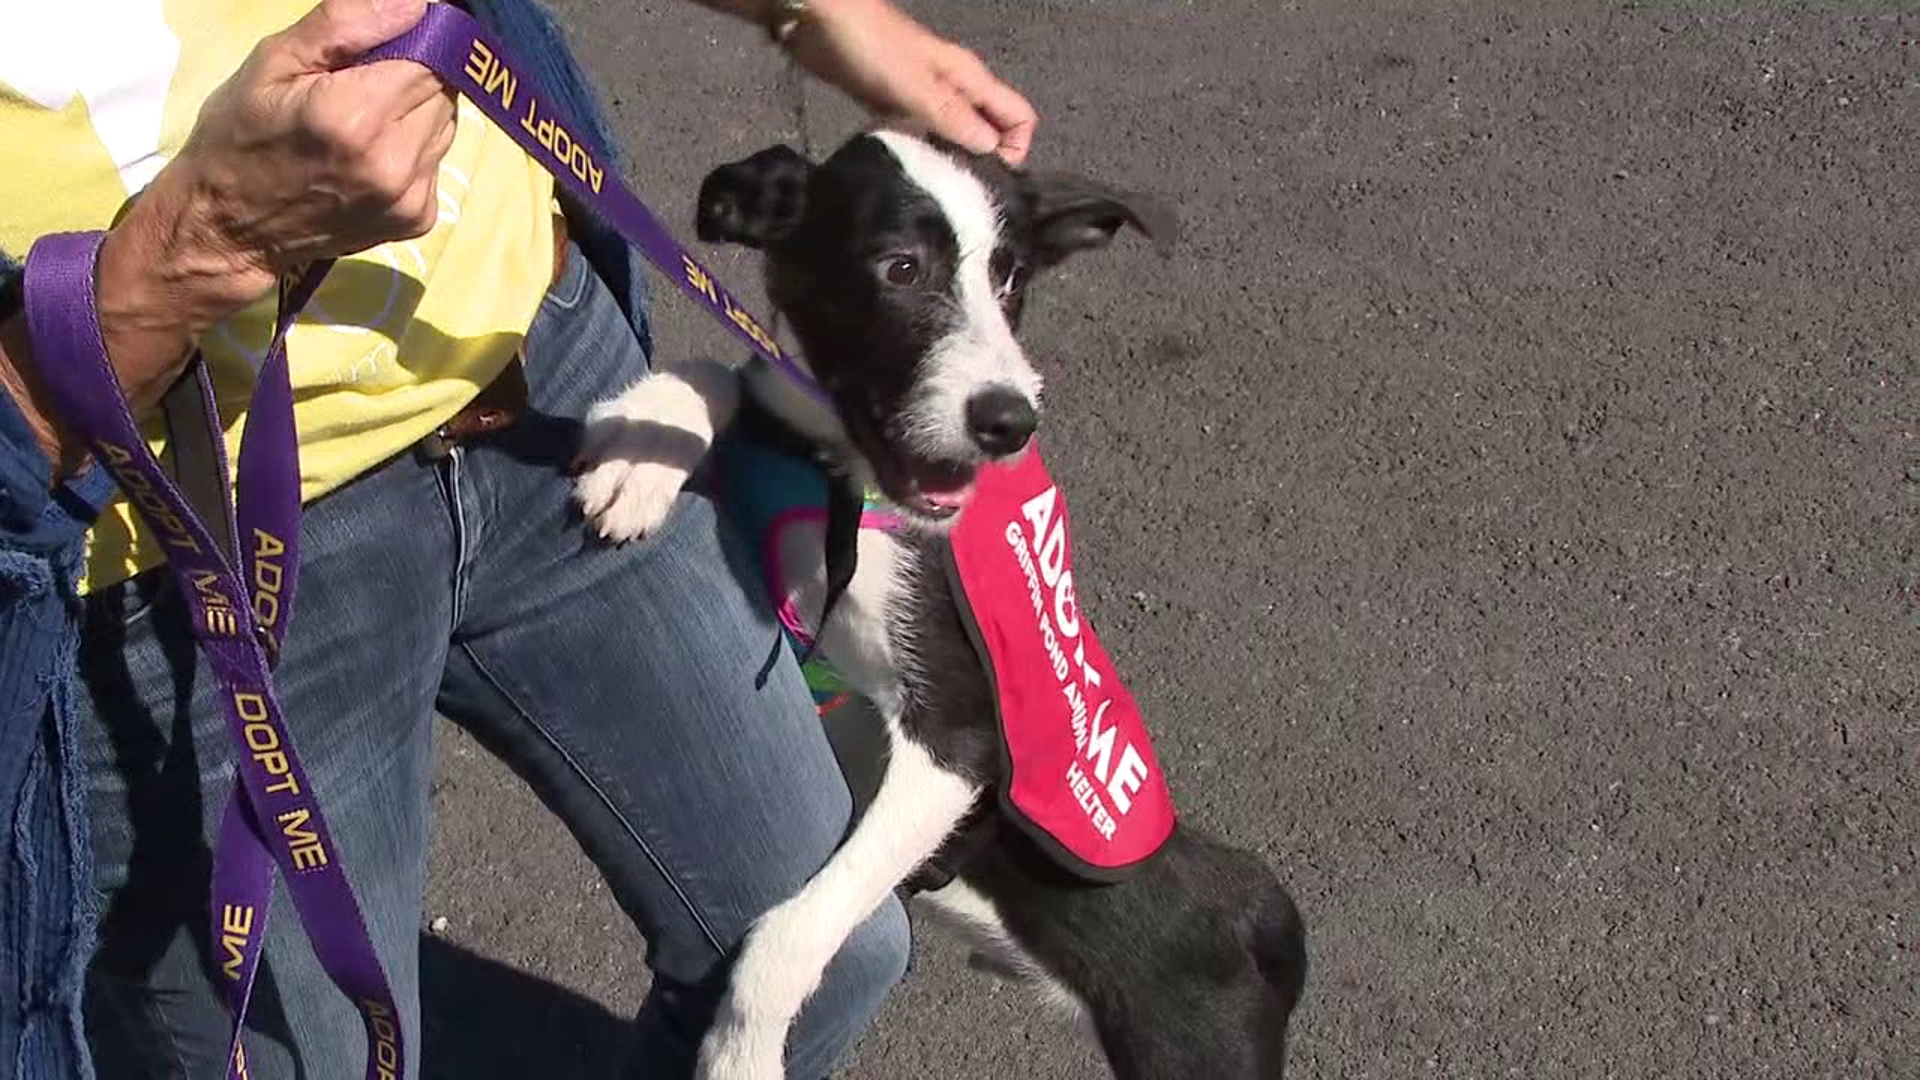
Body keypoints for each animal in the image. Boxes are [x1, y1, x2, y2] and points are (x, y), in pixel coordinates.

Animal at [568, 130, 1305, 1068]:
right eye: (900, 267)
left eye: (1010, 278)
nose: (1009, 420)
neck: (847, 476)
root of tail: (1260, 917)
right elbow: (724, 374)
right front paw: (642, 444)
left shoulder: (958, 745)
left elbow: (786, 935)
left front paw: (740, 1054)